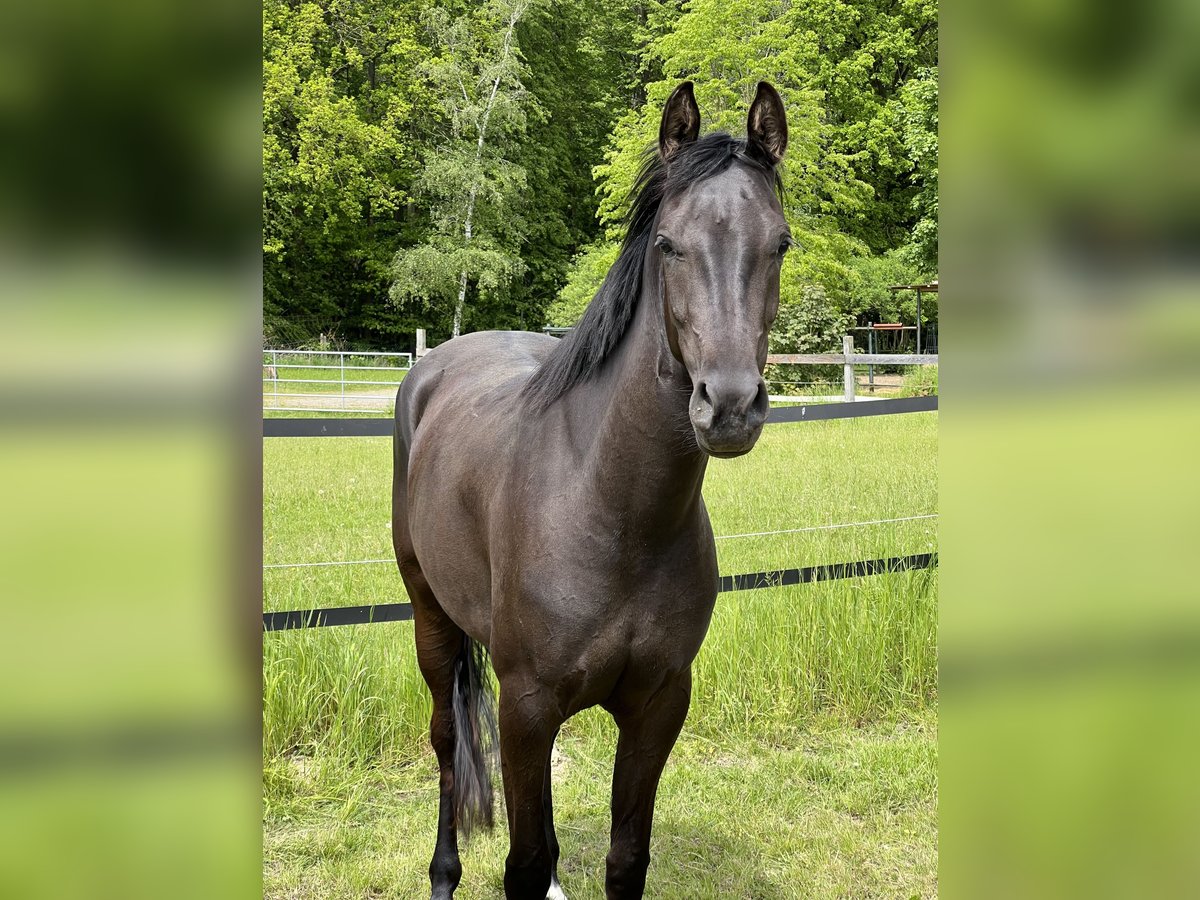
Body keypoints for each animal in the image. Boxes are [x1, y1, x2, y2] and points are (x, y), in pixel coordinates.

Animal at [391, 81, 787, 897]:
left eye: (781, 243)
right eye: (668, 245)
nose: (730, 405)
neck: (614, 511)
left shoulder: (659, 703)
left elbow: (622, 857)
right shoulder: (527, 706)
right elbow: (522, 860)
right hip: (430, 616)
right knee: (447, 741)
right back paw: (443, 873)